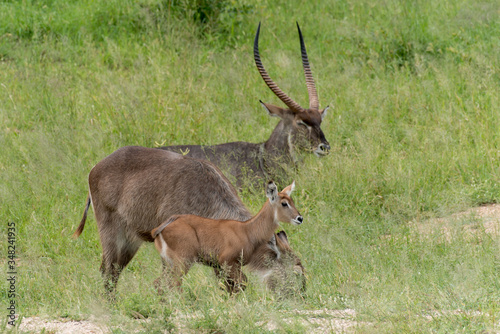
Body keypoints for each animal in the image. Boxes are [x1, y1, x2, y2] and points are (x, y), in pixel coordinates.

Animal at [151, 181, 300, 294]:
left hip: (168, 263)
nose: (300, 218)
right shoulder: (227, 261)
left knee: (159, 283)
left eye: (292, 201)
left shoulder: (226, 266)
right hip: (183, 261)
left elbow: (231, 286)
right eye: (284, 203)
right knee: (174, 284)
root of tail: (161, 228)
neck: (247, 230)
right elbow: (241, 284)